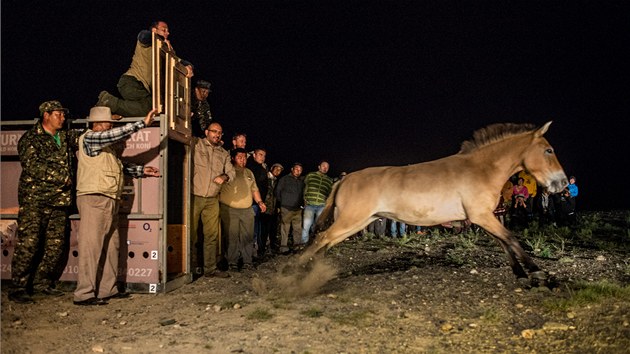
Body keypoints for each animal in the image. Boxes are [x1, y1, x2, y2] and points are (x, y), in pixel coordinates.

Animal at [300, 121, 568, 282]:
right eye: (549, 150)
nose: (563, 183)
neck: (481, 169)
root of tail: (343, 180)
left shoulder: (484, 217)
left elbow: (503, 242)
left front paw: (521, 273)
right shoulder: (481, 216)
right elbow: (511, 238)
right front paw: (536, 271)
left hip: (358, 222)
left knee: (324, 242)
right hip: (350, 220)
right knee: (321, 240)